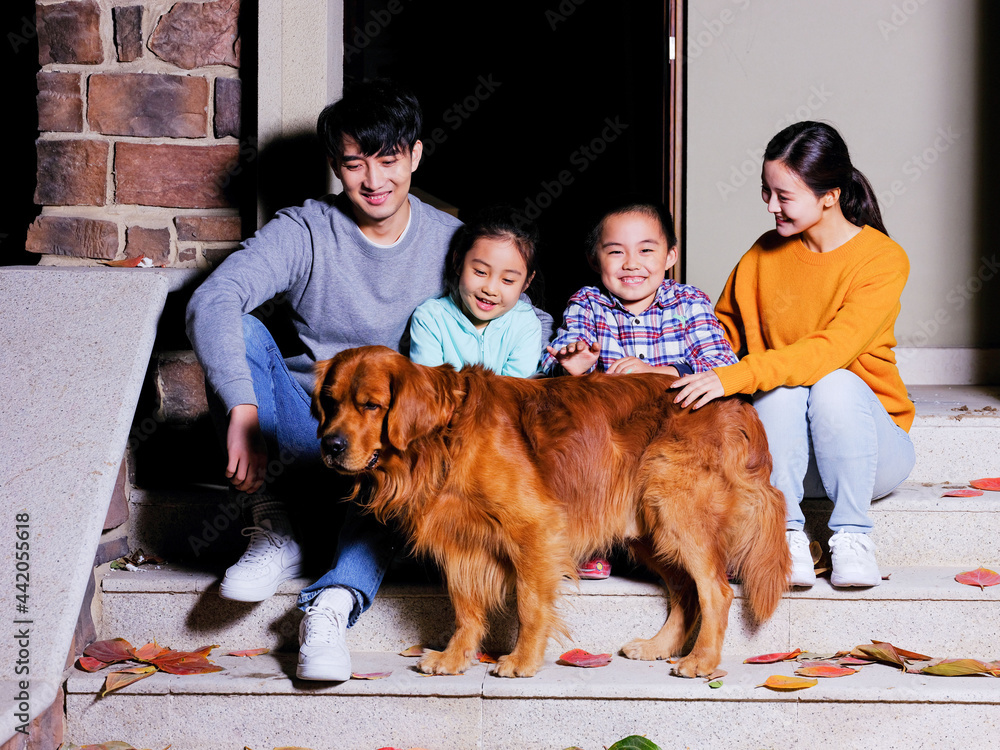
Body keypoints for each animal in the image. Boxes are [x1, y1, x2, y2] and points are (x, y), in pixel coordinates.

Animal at [312, 346, 788, 680]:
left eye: (371, 405)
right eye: (330, 403)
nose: (330, 446)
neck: (443, 437)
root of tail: (732, 402)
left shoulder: (534, 528)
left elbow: (529, 602)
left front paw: (522, 660)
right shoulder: (460, 542)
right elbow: (465, 607)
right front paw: (455, 656)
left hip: (676, 512)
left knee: (716, 591)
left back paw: (701, 660)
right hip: (648, 529)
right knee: (687, 591)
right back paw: (658, 647)